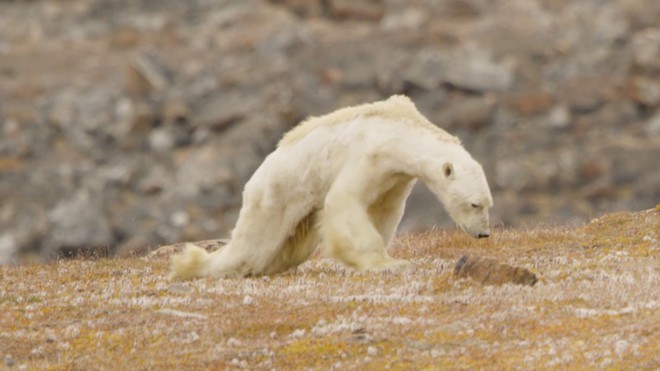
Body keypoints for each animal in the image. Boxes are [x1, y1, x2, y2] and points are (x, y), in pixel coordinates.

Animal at [170, 95, 490, 280]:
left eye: (488, 204)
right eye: (474, 204)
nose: (483, 234)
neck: (399, 130)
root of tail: (254, 180)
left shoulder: (395, 177)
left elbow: (384, 211)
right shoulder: (368, 155)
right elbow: (344, 201)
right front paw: (385, 263)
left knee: (289, 249)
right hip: (275, 195)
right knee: (253, 247)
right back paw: (192, 266)